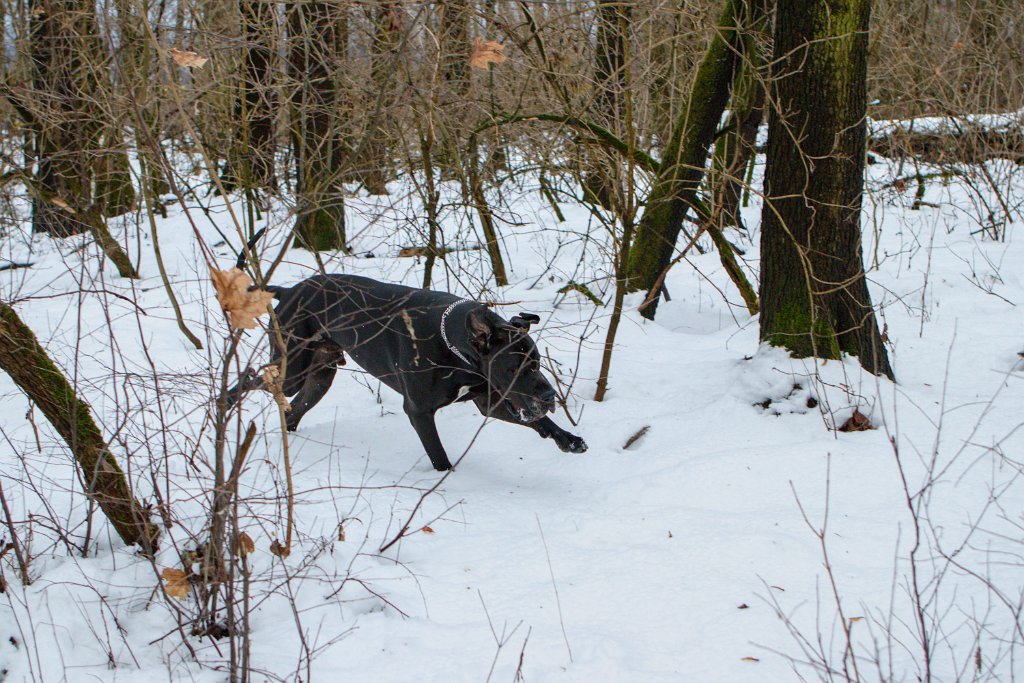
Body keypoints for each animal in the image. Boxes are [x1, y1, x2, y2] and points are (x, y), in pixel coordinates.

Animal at [228, 262, 589, 471]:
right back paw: (227, 400)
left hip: (320, 375)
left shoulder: (488, 400)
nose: (549, 397)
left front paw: (569, 439)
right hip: (292, 367)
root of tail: (288, 290)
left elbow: (540, 423)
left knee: (294, 410)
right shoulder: (418, 411)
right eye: (515, 368)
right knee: (253, 378)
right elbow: (439, 456)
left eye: (537, 363)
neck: (455, 349)